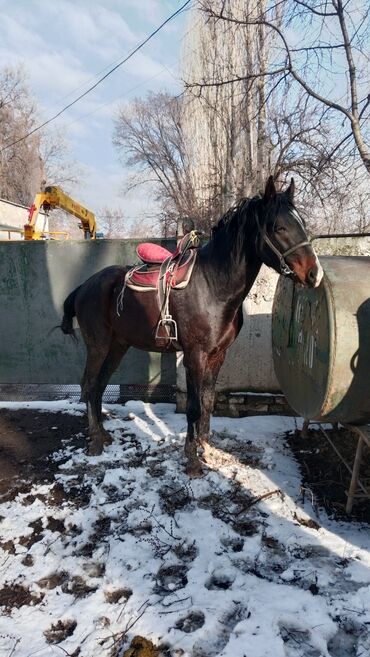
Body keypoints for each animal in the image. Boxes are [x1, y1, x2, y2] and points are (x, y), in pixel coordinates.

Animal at [60, 177, 320, 474]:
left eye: (301, 223)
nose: (314, 274)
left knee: (100, 385)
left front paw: (206, 448)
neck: (213, 285)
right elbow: (194, 407)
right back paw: (94, 441)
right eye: (279, 227)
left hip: (117, 346)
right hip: (99, 345)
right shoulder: (195, 355)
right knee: (89, 384)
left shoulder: (218, 355)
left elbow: (208, 402)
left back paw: (103, 434)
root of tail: (85, 286)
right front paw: (192, 459)